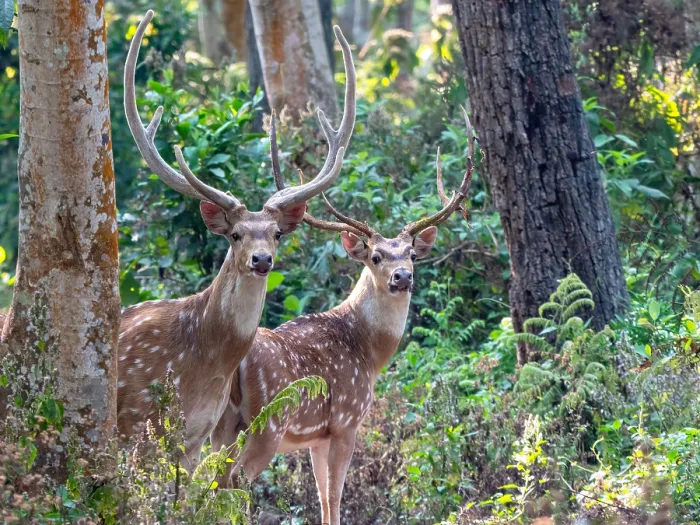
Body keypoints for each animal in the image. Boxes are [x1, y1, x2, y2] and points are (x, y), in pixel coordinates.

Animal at [117, 10, 357, 470]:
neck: (202, 362)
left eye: (277, 233)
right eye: (234, 234)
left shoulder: (199, 431)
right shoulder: (137, 419)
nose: (261, 260)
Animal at [210, 111, 475, 525]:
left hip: (221, 422)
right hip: (268, 421)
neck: (369, 351)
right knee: (235, 480)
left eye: (412, 254)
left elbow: (322, 497)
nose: (402, 277)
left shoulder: (317, 435)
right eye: (376, 256)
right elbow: (336, 495)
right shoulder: (347, 420)